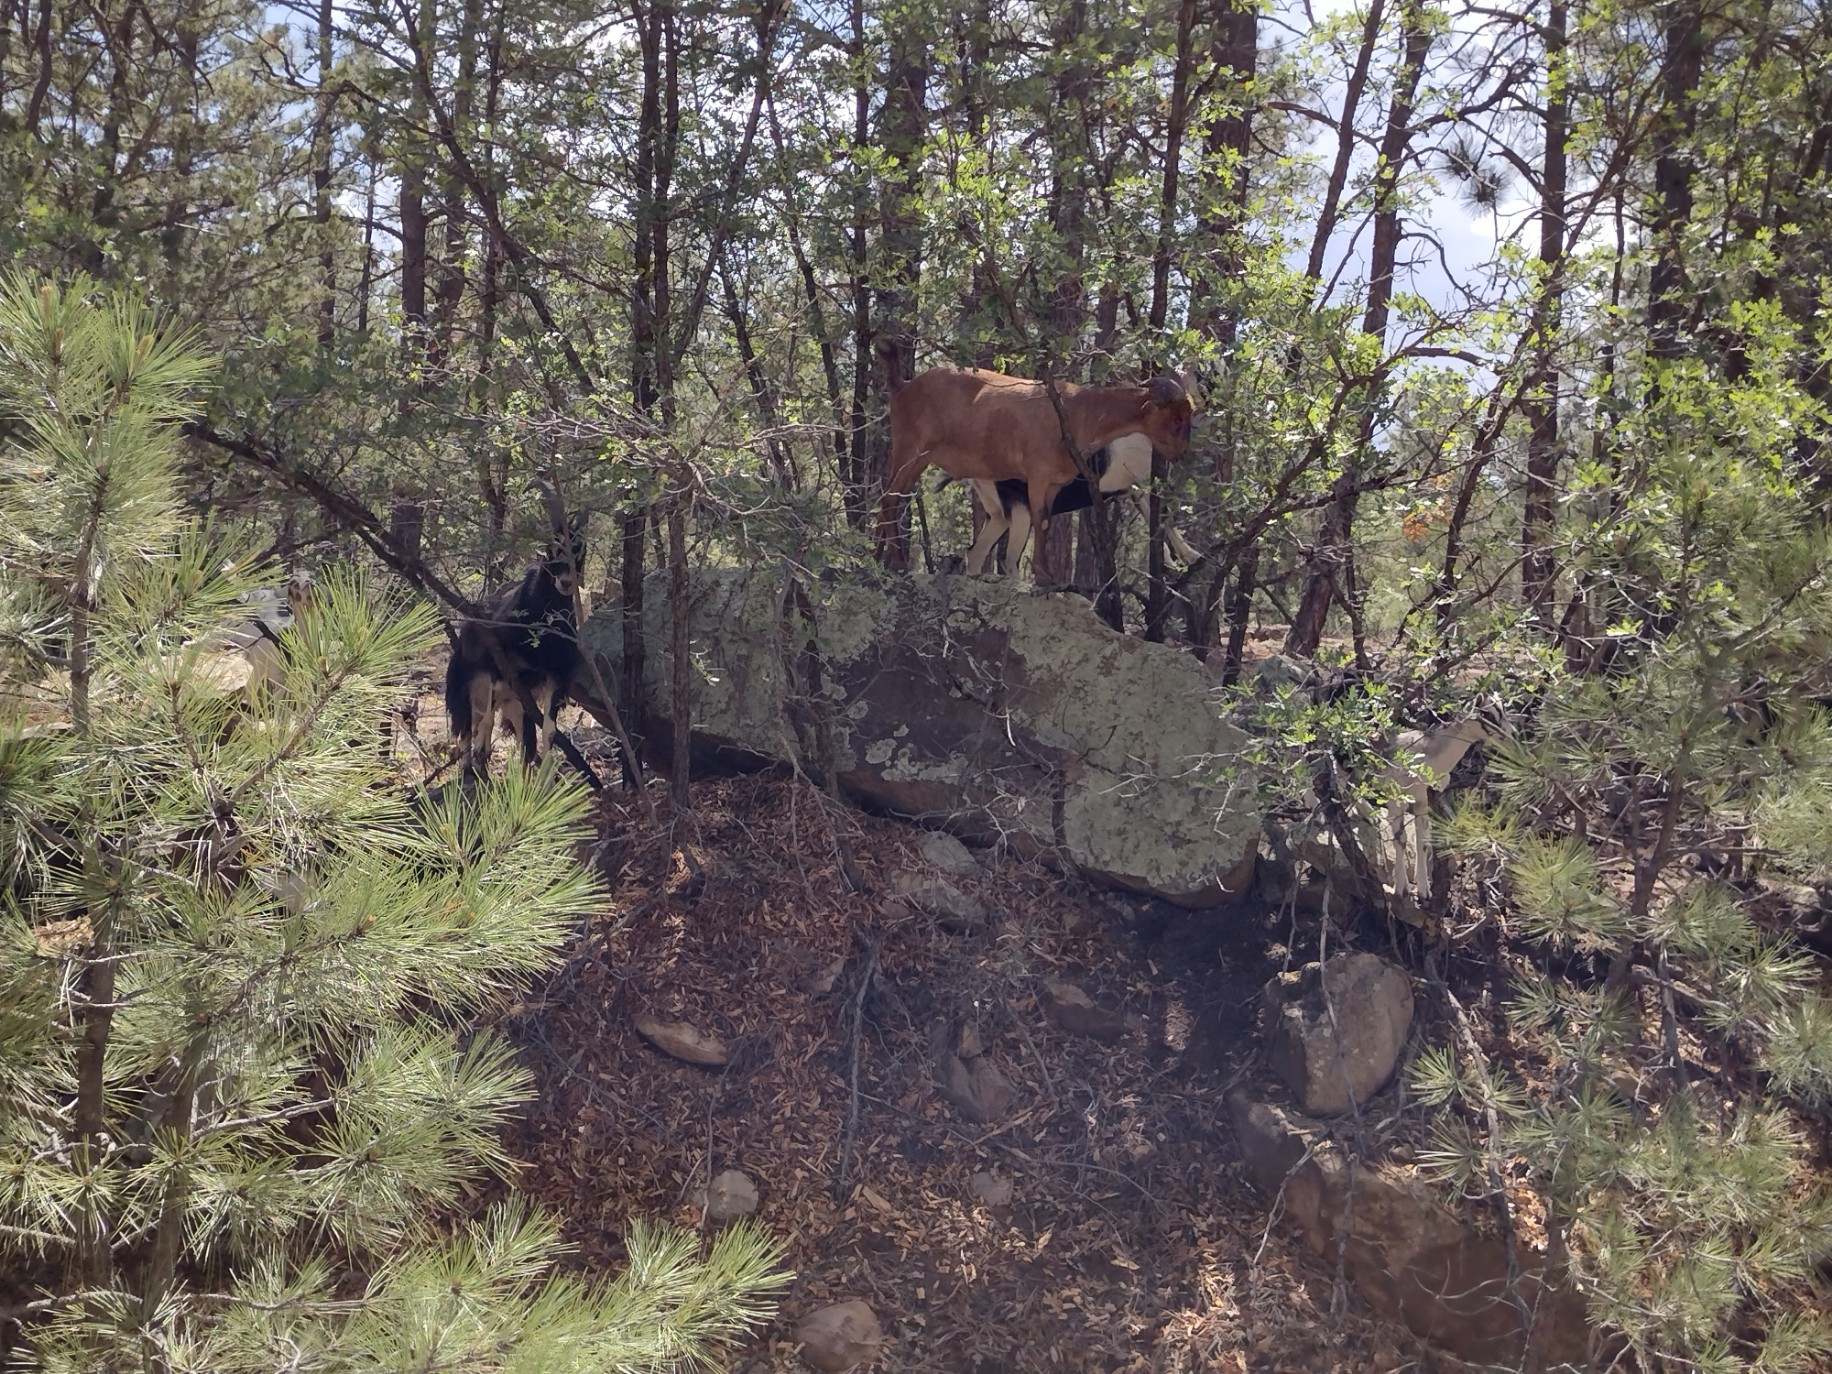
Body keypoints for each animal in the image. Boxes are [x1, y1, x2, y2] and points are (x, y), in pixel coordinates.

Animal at [444, 517, 602, 789]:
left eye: (579, 550)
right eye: (551, 548)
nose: (565, 582)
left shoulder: (554, 677)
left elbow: (547, 730)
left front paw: (545, 780)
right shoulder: (498, 669)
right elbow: (486, 721)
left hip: (510, 699)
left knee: (508, 732)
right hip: (470, 683)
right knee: (470, 722)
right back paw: (470, 769)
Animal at [961, 432, 1200, 576]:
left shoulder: (1133, 489)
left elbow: (1156, 521)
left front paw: (1182, 561)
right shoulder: (1141, 483)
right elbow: (1163, 519)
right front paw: (1189, 559)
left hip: (998, 515)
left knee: (976, 552)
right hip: (1021, 512)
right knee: (1008, 559)